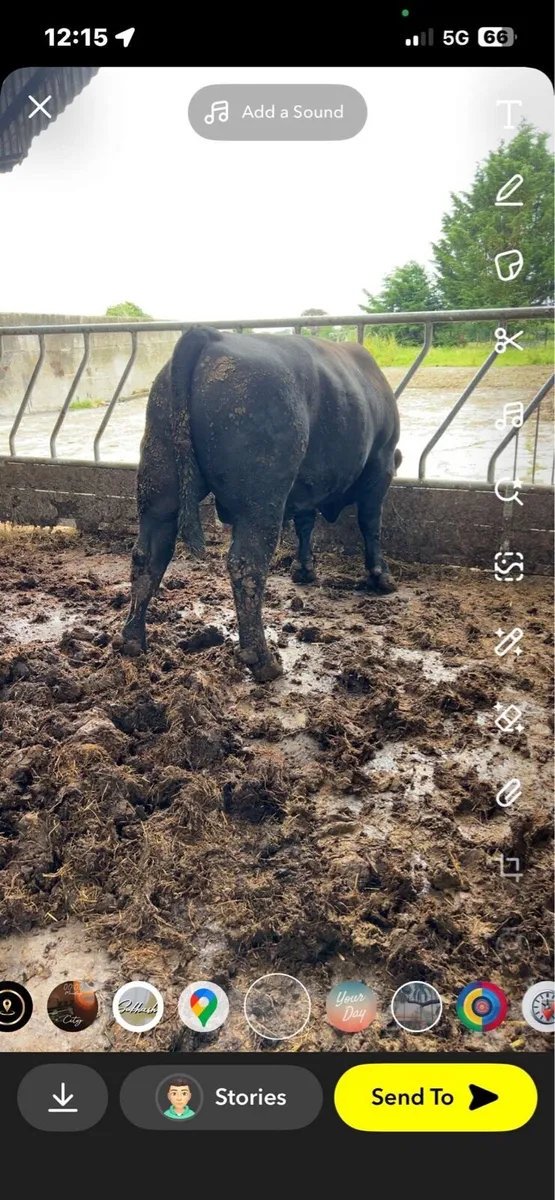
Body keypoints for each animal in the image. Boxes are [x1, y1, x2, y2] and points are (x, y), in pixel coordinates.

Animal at [121, 326, 401, 682]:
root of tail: (212, 336)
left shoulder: (307, 485)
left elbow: (305, 524)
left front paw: (304, 570)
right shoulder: (381, 463)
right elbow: (370, 523)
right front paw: (381, 577)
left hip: (159, 488)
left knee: (148, 557)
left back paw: (133, 639)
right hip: (261, 499)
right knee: (247, 563)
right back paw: (262, 659)